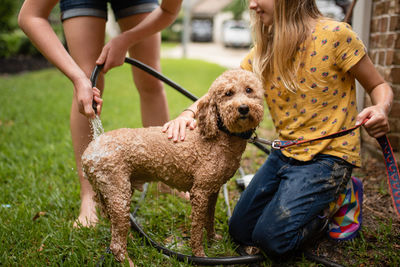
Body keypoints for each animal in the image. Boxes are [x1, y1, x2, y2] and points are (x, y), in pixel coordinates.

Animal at [80, 69, 264, 262]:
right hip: (118, 194)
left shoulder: (213, 190)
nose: (243, 108)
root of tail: (89, 151)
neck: (219, 136)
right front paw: (200, 255)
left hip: (113, 193)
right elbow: (197, 228)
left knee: (115, 229)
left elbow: (210, 219)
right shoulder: (200, 192)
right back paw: (129, 262)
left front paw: (213, 240)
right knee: (116, 244)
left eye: (249, 90)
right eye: (228, 93)